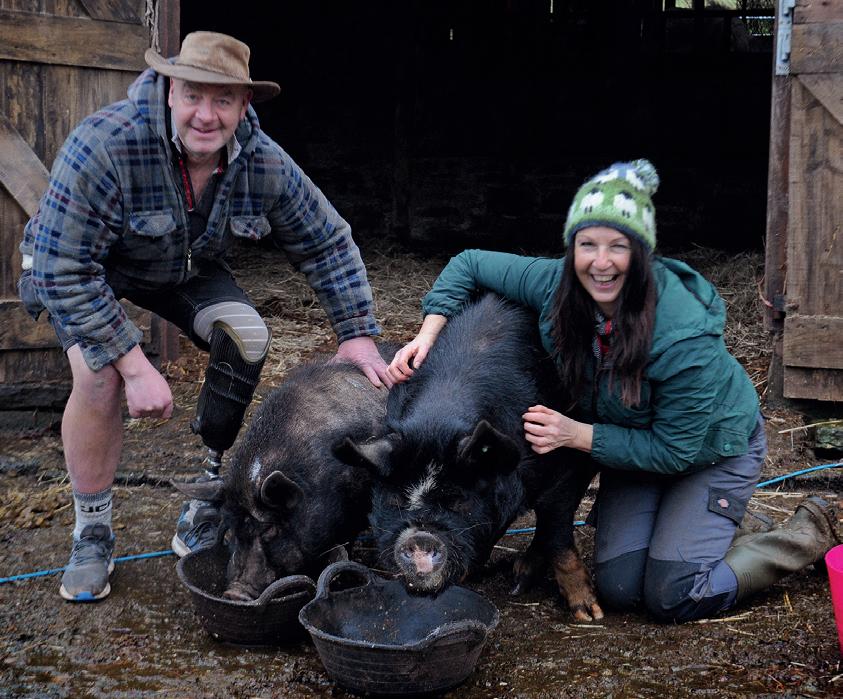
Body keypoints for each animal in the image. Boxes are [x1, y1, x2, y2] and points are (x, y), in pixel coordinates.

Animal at [337, 295, 603, 621]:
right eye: (395, 500)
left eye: (458, 500)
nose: (420, 538)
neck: (438, 422)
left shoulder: (565, 466)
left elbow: (557, 532)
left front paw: (589, 614)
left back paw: (520, 581)